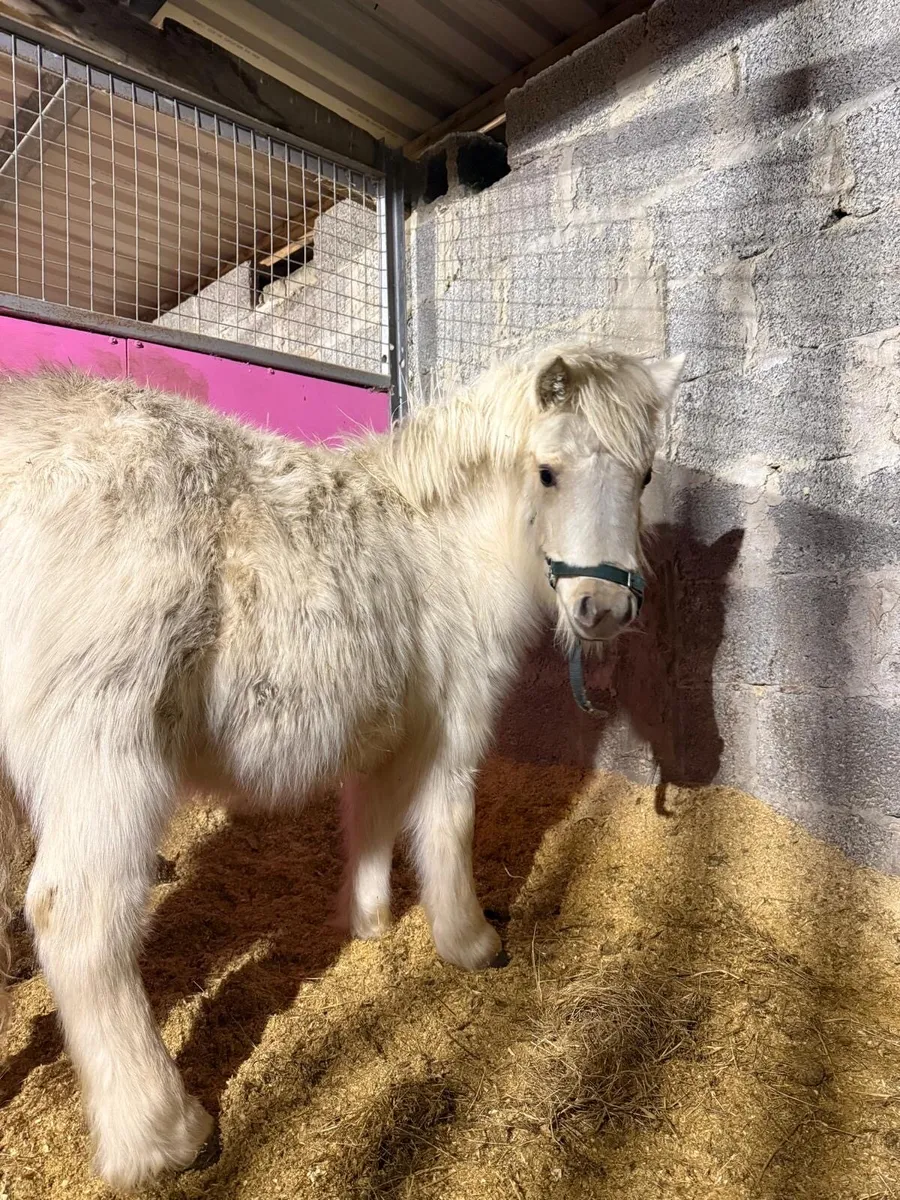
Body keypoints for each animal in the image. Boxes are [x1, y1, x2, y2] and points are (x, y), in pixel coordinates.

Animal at [0, 342, 683, 1188]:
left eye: (644, 476)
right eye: (548, 471)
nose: (603, 609)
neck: (441, 546)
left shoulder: (391, 723)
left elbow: (374, 814)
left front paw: (368, 920)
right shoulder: (456, 721)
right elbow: (446, 824)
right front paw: (470, 943)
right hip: (104, 755)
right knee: (80, 920)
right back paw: (165, 1137)